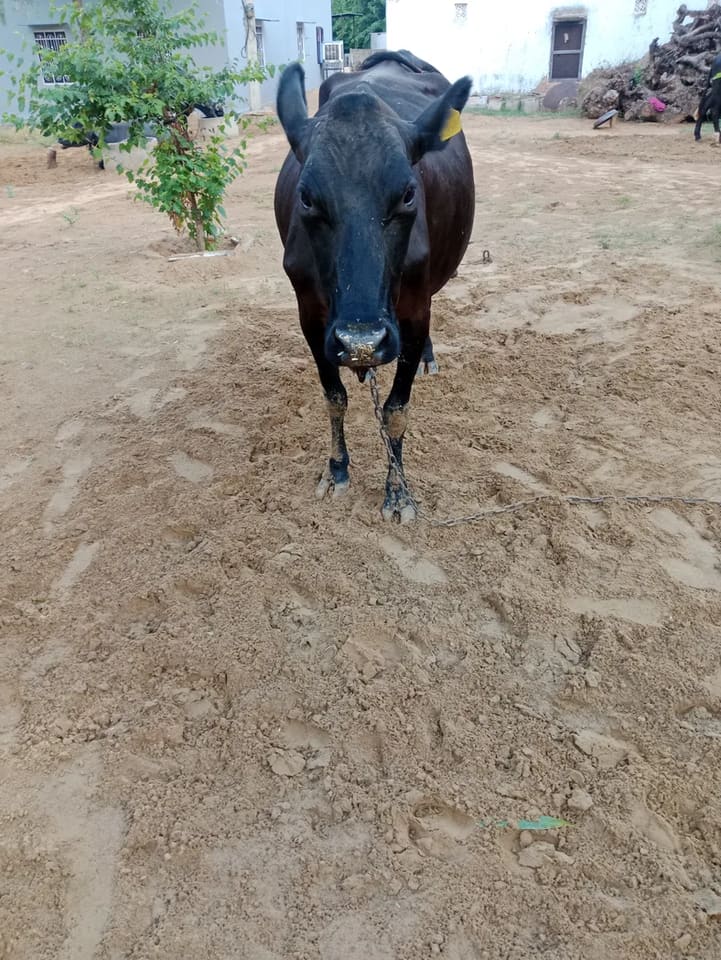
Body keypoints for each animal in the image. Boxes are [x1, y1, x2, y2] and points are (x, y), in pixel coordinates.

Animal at [273, 50, 475, 522]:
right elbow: (334, 396)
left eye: (408, 194)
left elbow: (396, 411)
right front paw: (336, 469)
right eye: (306, 197)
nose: (361, 342)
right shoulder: (311, 315)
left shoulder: (414, 314)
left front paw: (398, 490)